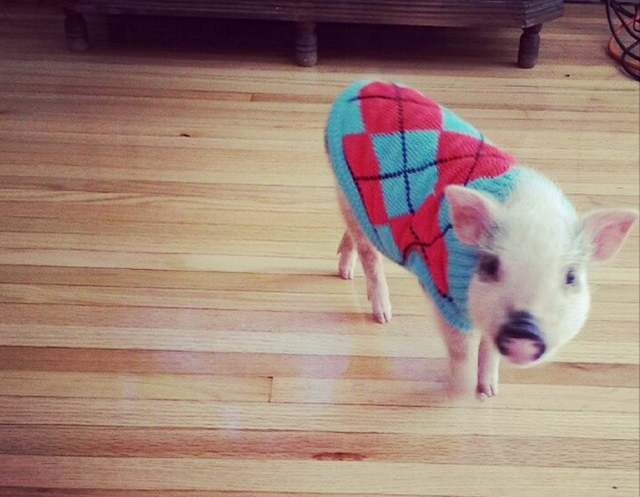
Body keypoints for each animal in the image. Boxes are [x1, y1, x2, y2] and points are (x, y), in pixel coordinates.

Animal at [325, 81, 638, 398]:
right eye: (490, 265)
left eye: (571, 276)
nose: (523, 332)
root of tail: (361, 83)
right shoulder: (444, 296)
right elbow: (461, 351)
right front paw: (460, 394)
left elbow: (489, 348)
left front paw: (488, 393)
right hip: (344, 190)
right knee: (368, 253)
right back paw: (382, 315)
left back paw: (345, 274)